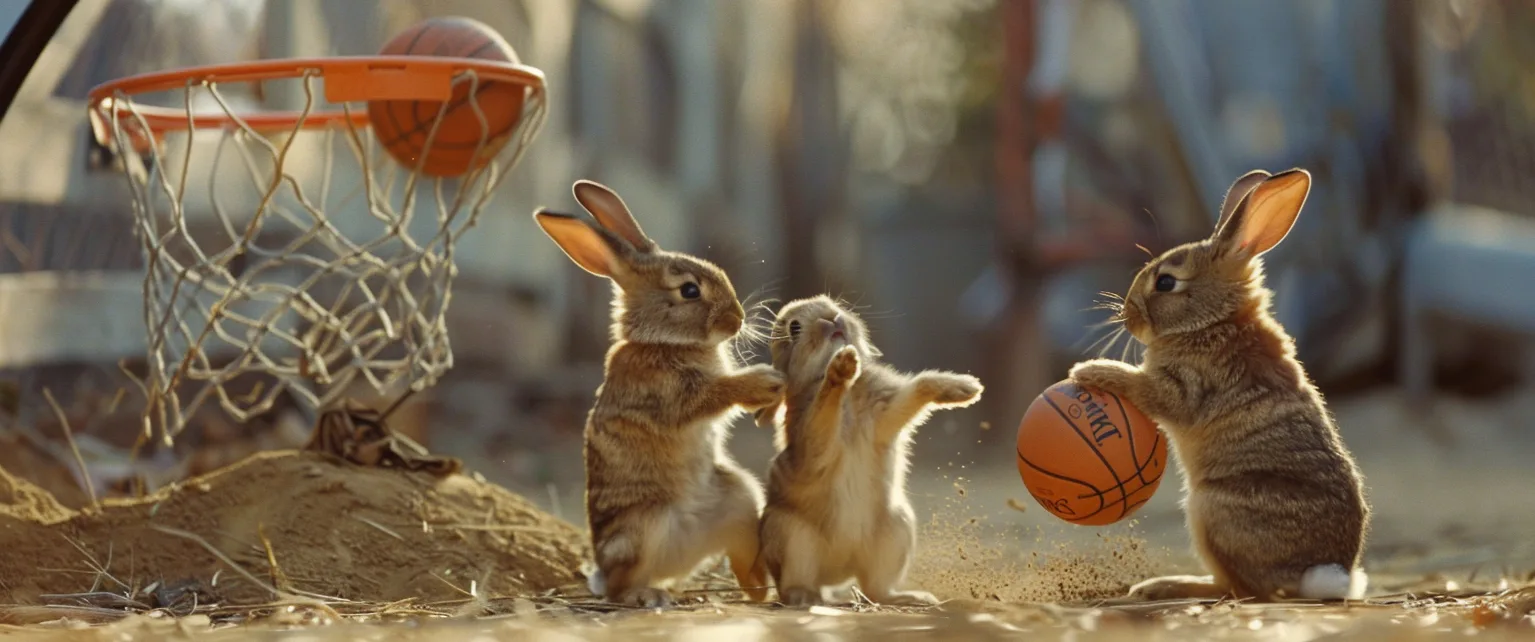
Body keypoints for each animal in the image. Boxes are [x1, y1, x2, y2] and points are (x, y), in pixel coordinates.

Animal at [534, 178, 785, 608]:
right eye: (689, 291)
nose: (736, 320)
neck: (663, 340)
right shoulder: (671, 398)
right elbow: (715, 395)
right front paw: (764, 383)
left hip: (739, 497)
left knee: (740, 555)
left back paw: (758, 589)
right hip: (642, 526)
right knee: (619, 587)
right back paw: (646, 595)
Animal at [752, 296, 982, 608]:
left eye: (831, 302)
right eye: (794, 327)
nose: (832, 318)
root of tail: (838, 571)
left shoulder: (884, 412)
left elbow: (918, 387)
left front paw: (967, 389)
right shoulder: (811, 442)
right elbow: (823, 415)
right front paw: (842, 367)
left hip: (896, 529)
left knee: (875, 588)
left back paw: (913, 598)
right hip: (791, 536)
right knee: (795, 584)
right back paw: (806, 597)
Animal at [1062, 168, 1375, 602]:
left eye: (1165, 283)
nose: (1127, 316)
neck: (1214, 320)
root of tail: (1318, 574)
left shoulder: (1185, 388)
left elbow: (1147, 390)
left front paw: (1089, 371)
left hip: (1209, 510)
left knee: (1241, 587)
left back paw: (1163, 586)